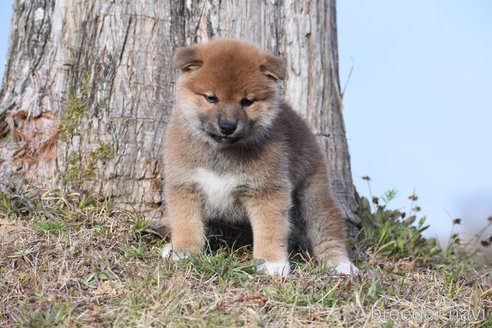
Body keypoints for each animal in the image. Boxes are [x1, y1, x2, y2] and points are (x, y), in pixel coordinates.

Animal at [163, 37, 360, 276]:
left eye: (247, 101)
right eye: (211, 98)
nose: (227, 127)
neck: (222, 153)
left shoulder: (267, 191)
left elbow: (270, 229)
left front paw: (272, 262)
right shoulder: (185, 185)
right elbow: (186, 223)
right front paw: (183, 251)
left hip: (314, 193)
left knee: (329, 230)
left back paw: (341, 264)